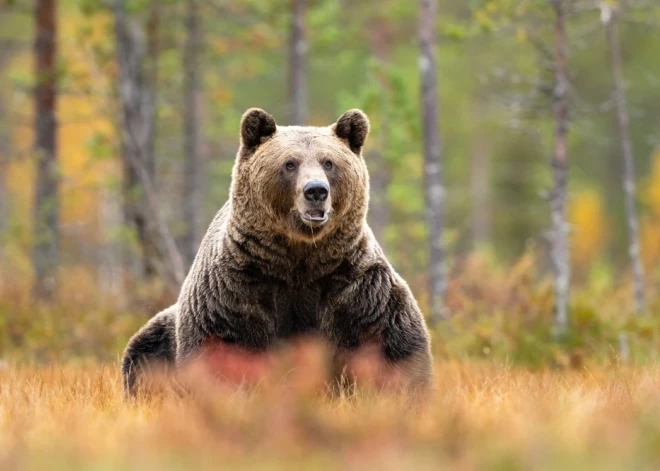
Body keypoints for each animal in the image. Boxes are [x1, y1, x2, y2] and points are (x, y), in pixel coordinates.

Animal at [122, 109, 434, 398]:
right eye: (290, 163)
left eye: (329, 162)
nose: (316, 191)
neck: (298, 258)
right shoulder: (235, 290)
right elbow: (221, 349)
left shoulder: (354, 287)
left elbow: (392, 343)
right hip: (161, 333)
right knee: (143, 355)